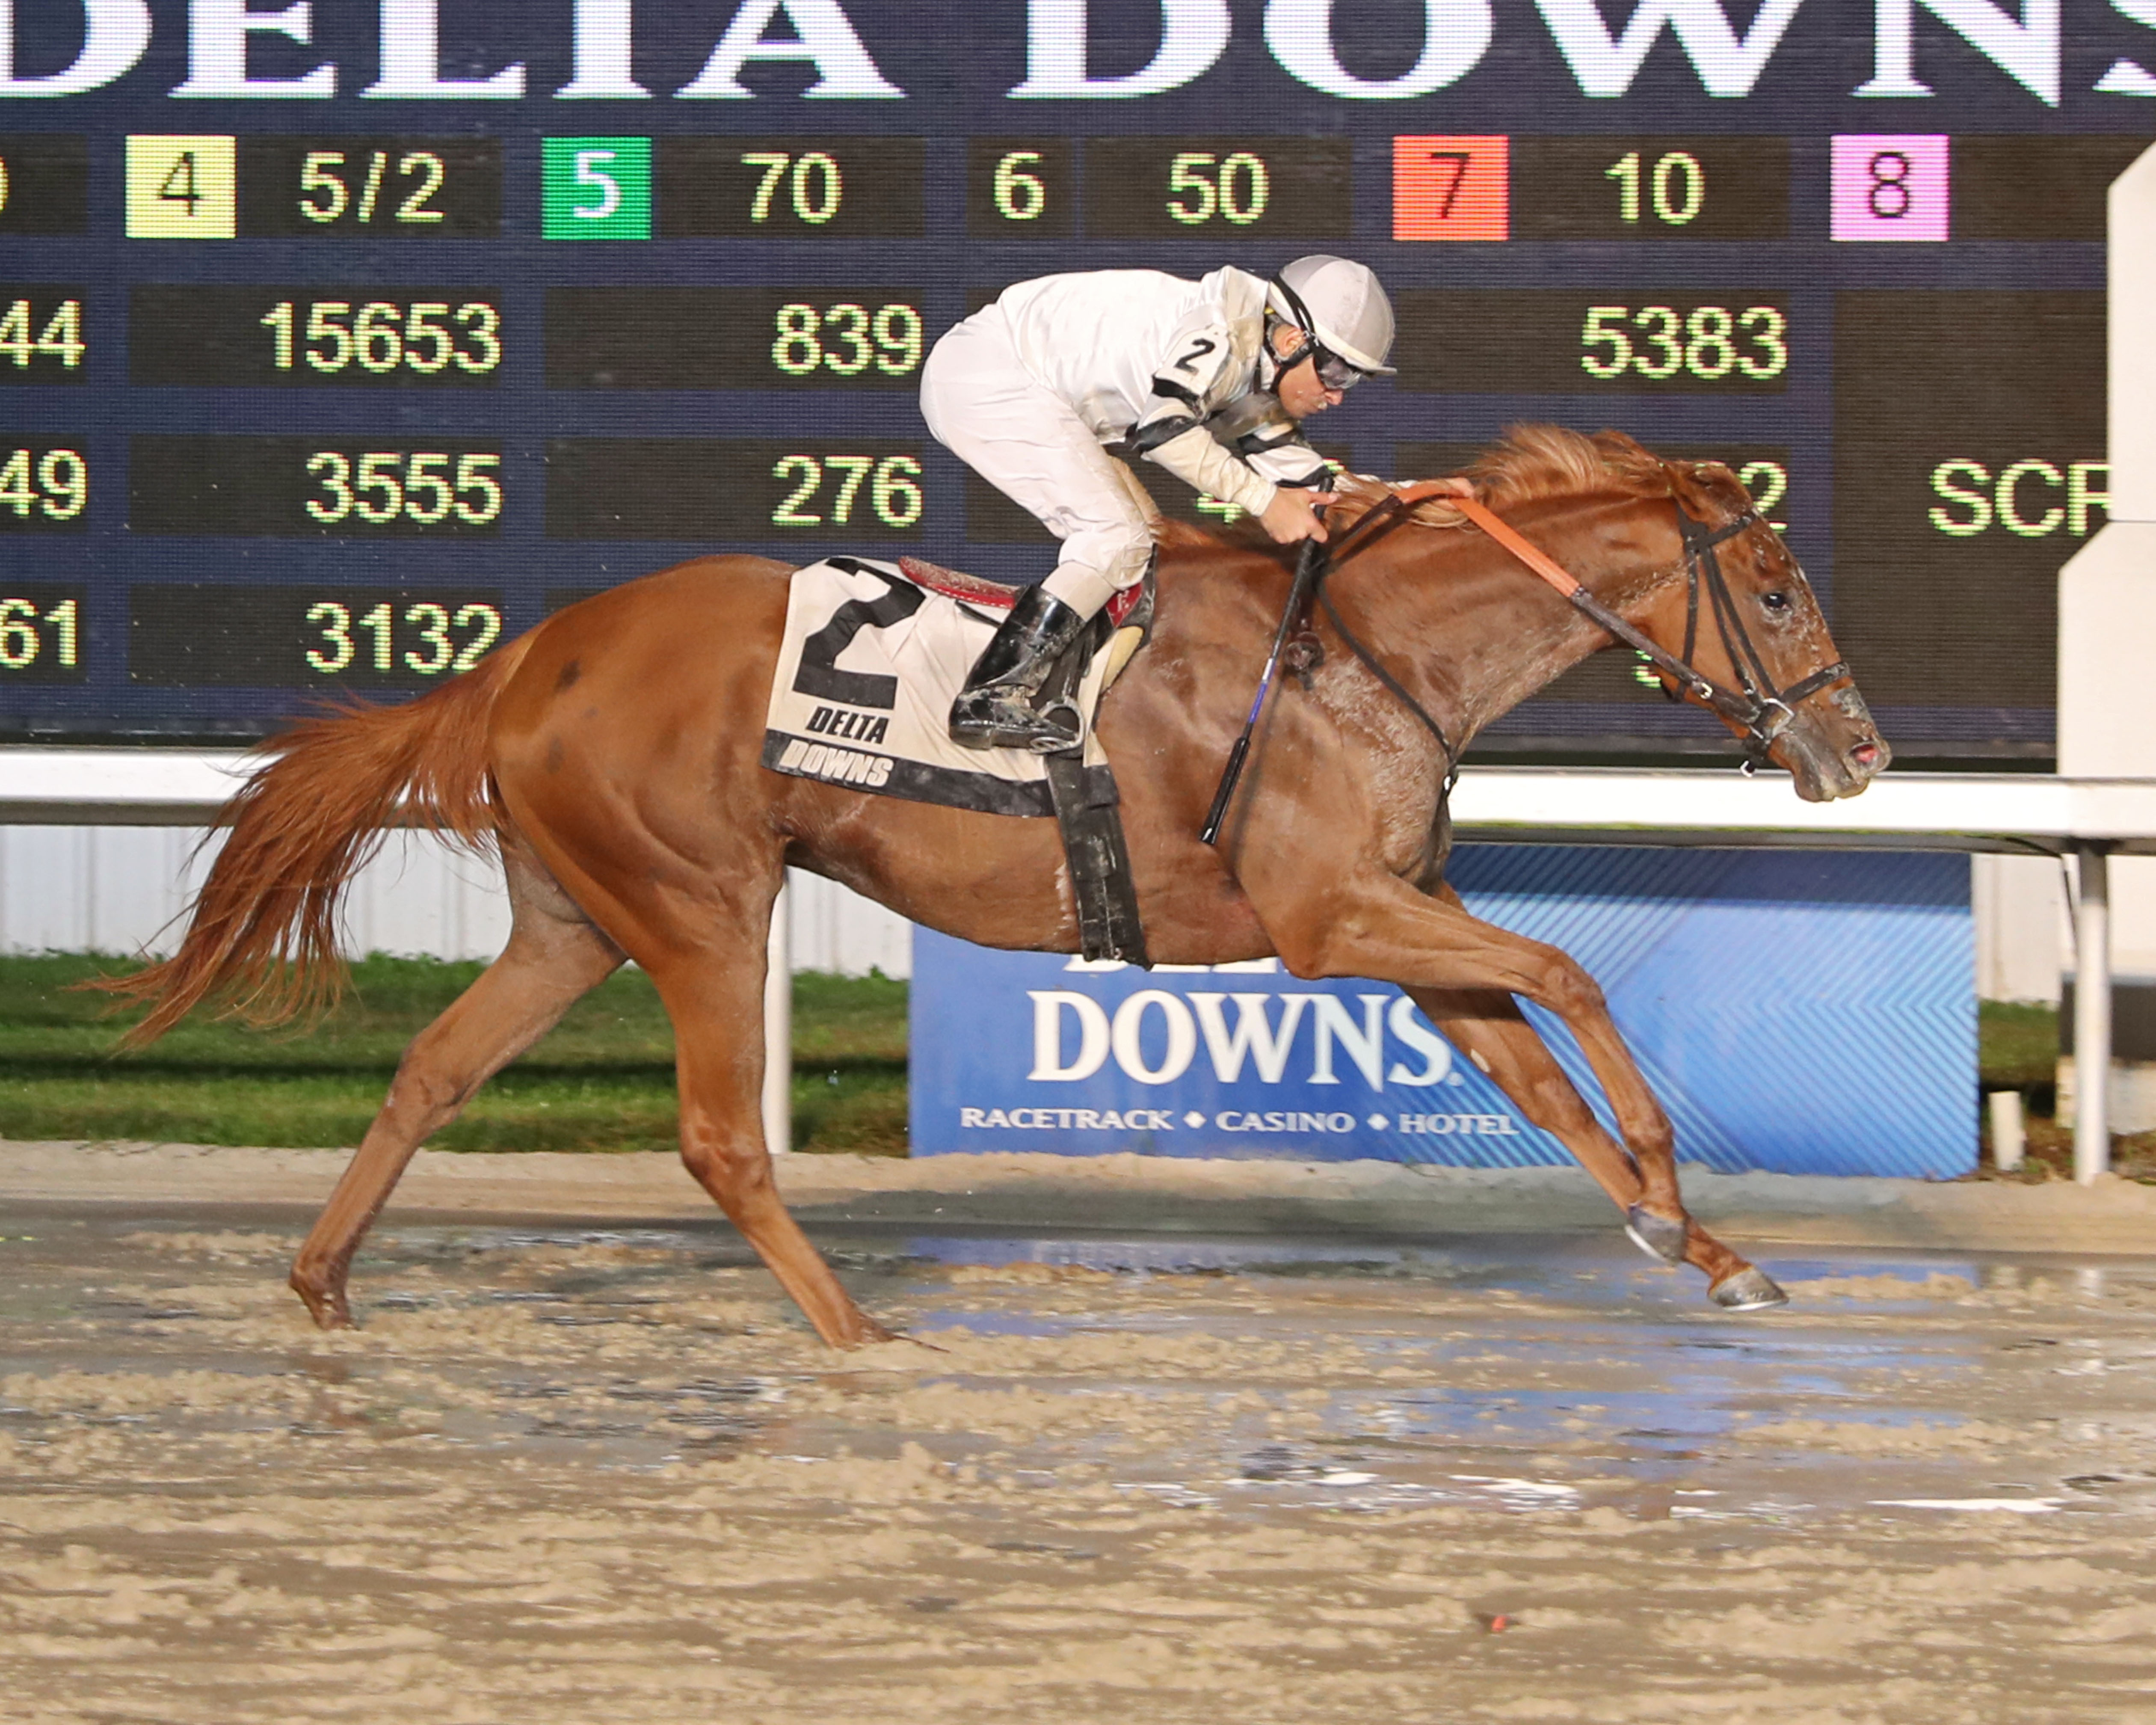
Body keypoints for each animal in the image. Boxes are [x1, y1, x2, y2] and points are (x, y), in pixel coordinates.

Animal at [102, 427, 1888, 1349]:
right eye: (1777, 586)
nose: (1859, 748)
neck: (1370, 652)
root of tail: (535, 646)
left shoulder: (1399, 925)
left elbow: (1540, 1067)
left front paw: (1700, 1244)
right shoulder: (1329, 921)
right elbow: (1575, 981)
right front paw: (1668, 1186)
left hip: (574, 917)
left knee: (433, 1070)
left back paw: (325, 1283)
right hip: (701, 903)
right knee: (719, 1137)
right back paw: (858, 1336)